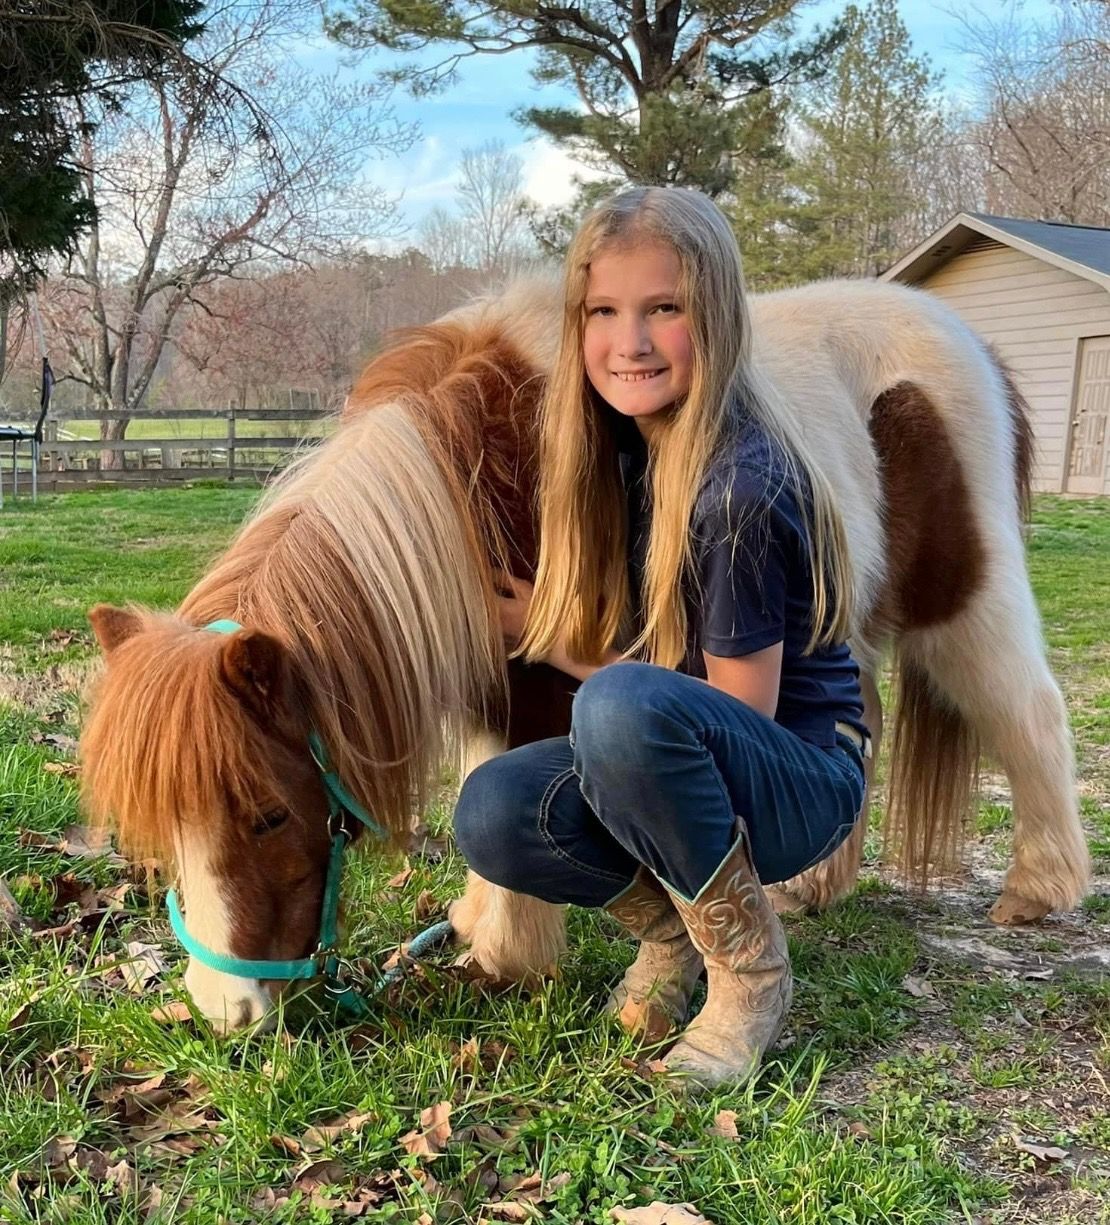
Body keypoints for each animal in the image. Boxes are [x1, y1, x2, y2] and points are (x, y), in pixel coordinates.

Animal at [79, 276, 1090, 1031]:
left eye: (267, 816)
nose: (226, 1011)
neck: (483, 470)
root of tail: (978, 350)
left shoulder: (538, 672)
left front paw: (506, 957)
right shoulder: (488, 675)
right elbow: (483, 781)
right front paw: (476, 928)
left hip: (966, 604)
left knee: (1027, 712)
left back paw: (1036, 891)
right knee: (861, 723)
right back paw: (813, 889)